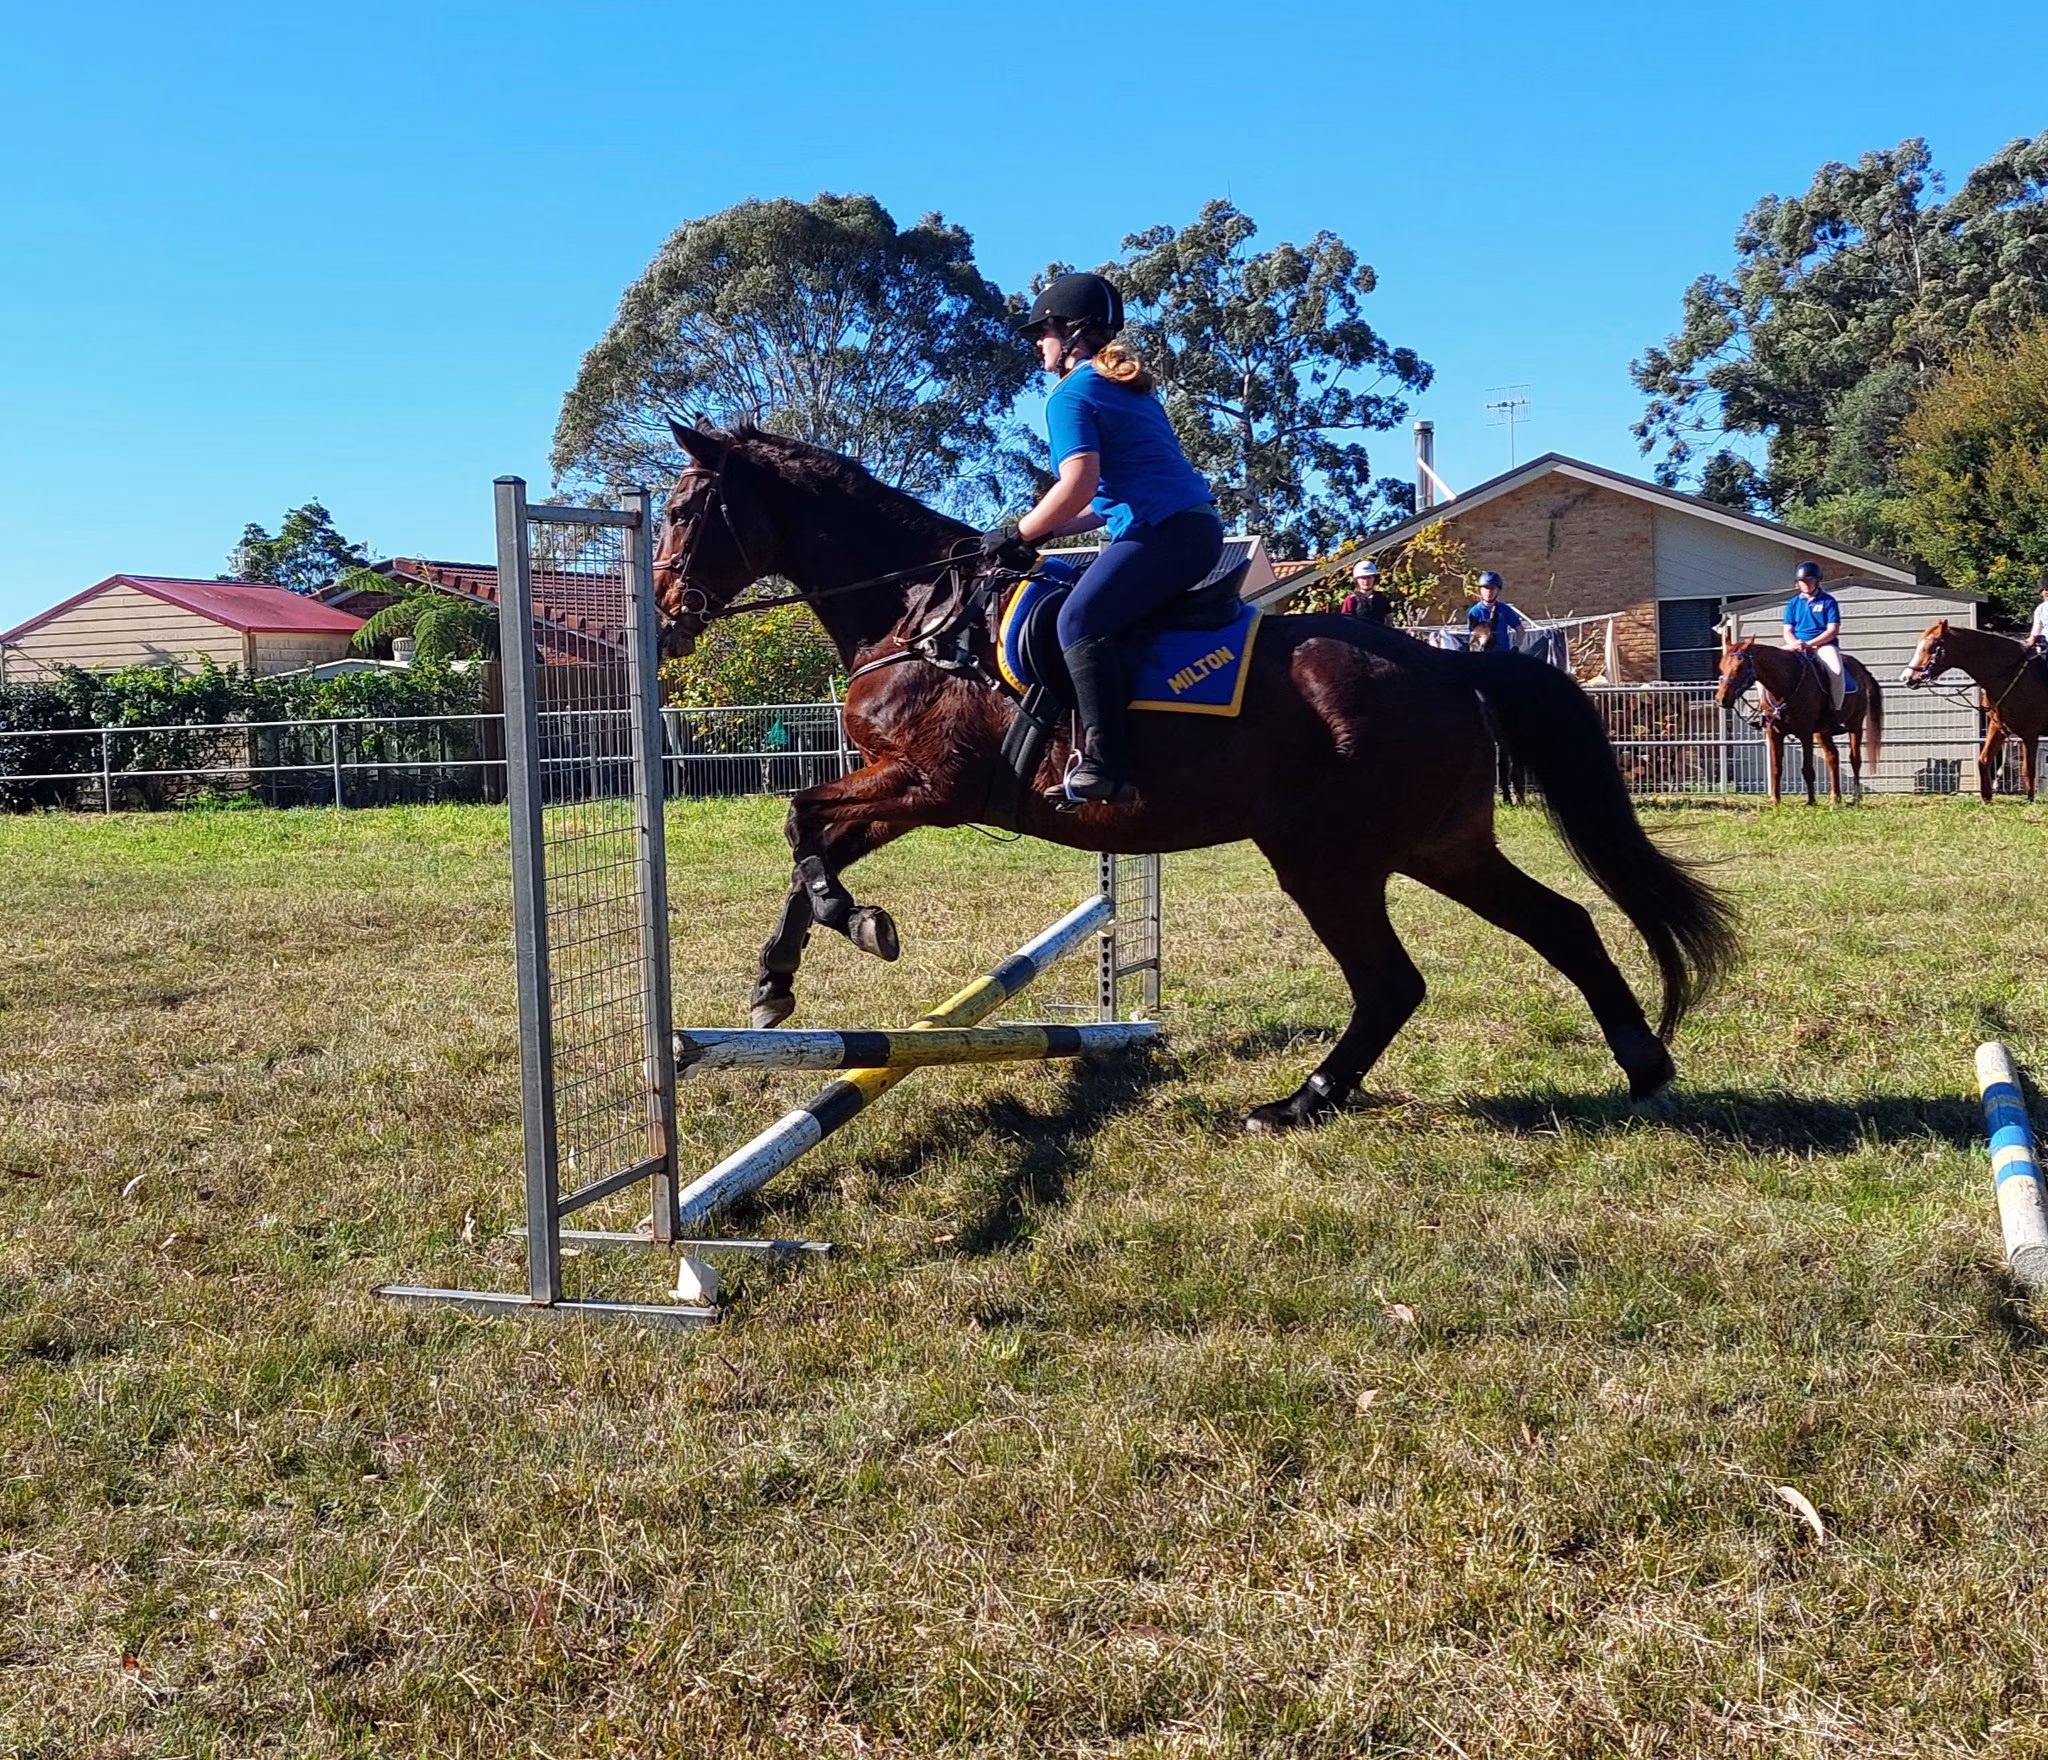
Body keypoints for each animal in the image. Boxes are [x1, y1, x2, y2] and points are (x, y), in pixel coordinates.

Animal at [653, 422, 1738, 1132]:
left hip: (1327, 858)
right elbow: (810, 845)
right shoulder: (904, 785)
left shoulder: (935, 785)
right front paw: (778, 978)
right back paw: (1643, 1068)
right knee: (1562, 924)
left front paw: (858, 926)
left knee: (1393, 979)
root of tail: (1446, 666)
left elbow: (801, 822)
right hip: (1438, 844)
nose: (662, 620)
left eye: (681, 507)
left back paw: (1298, 1103)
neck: (919, 612)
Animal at [1714, 634, 1883, 806]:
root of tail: (1859, 667)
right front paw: (1775, 801)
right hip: (1822, 732)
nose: (1721, 699)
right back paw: (1834, 797)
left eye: (1740, 667)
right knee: (1832, 756)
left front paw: (1811, 801)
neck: (1784, 686)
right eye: (1721, 666)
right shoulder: (1774, 732)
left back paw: (1856, 797)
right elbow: (1776, 767)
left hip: (1855, 724)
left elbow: (1807, 768)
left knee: (1855, 759)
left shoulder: (1805, 732)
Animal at [1900, 618, 2044, 803]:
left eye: (1932, 648)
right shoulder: (1997, 726)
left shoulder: (2029, 733)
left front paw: (2030, 801)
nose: (1907, 678)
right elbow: (1983, 760)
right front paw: (1986, 798)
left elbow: (2028, 769)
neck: (2010, 676)